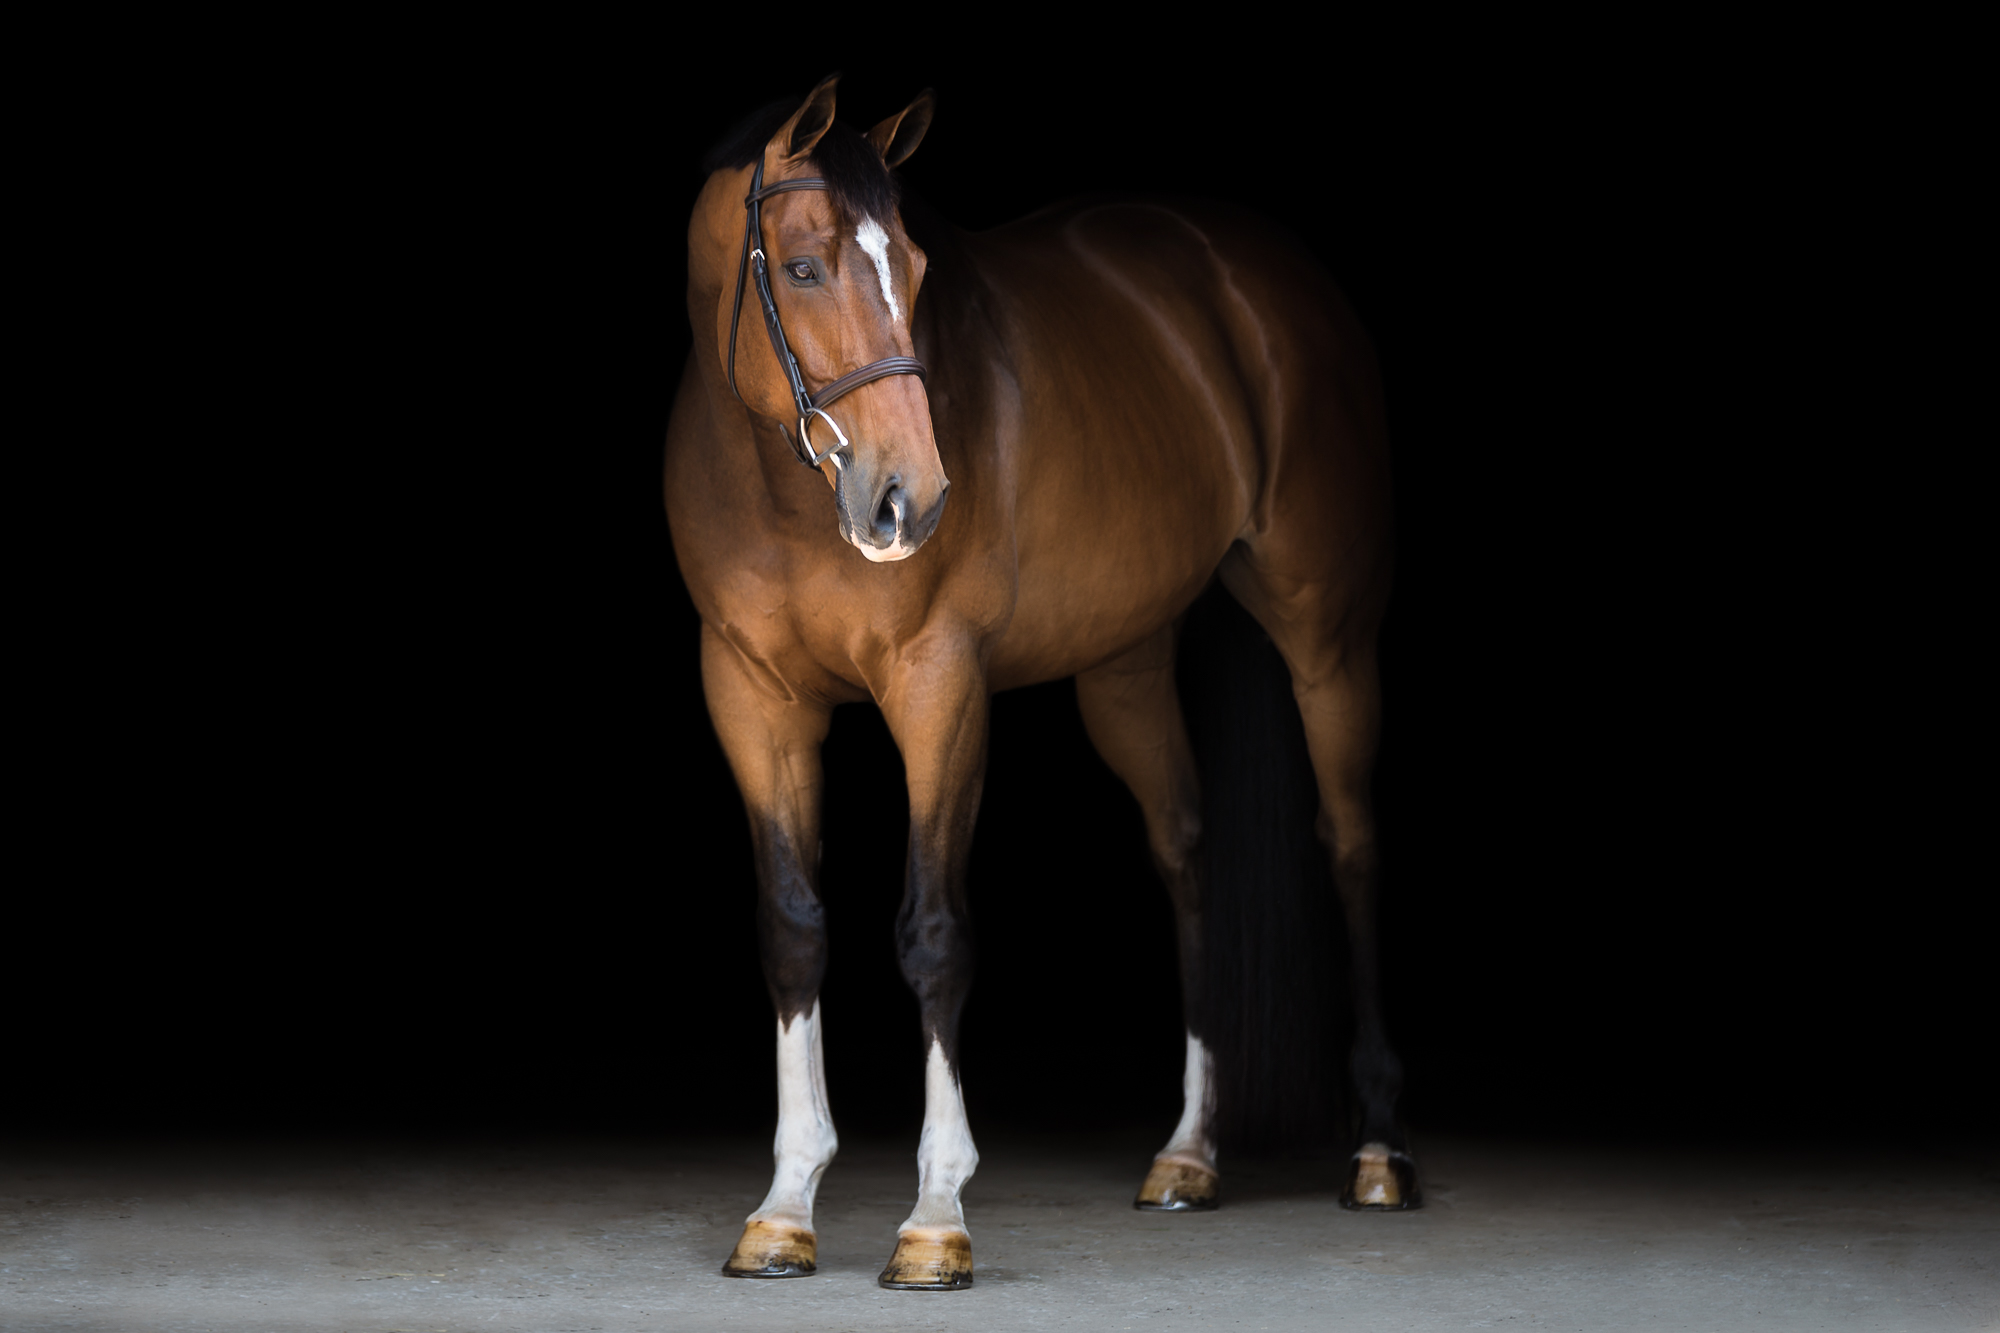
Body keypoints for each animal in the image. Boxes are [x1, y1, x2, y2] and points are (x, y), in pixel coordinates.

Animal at [664, 74, 1416, 1291]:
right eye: (804, 267)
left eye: (916, 266)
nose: (908, 499)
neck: (781, 492)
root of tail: (1252, 271)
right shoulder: (749, 697)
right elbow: (792, 926)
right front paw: (783, 1206)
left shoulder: (939, 691)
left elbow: (932, 933)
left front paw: (934, 1216)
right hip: (1124, 666)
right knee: (1185, 851)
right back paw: (1187, 1154)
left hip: (1328, 637)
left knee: (1349, 844)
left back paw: (1381, 1152)